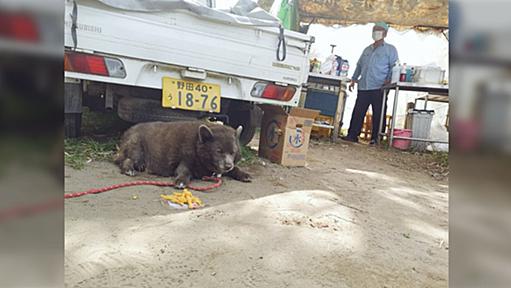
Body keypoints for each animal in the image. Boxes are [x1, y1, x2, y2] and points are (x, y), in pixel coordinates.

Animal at [115, 121, 252, 187]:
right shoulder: (185, 161)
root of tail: (127, 131)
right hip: (136, 148)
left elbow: (236, 168)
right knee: (127, 160)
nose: (228, 166)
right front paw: (181, 181)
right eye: (218, 151)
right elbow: (184, 172)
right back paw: (129, 169)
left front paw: (244, 174)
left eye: (233, 152)